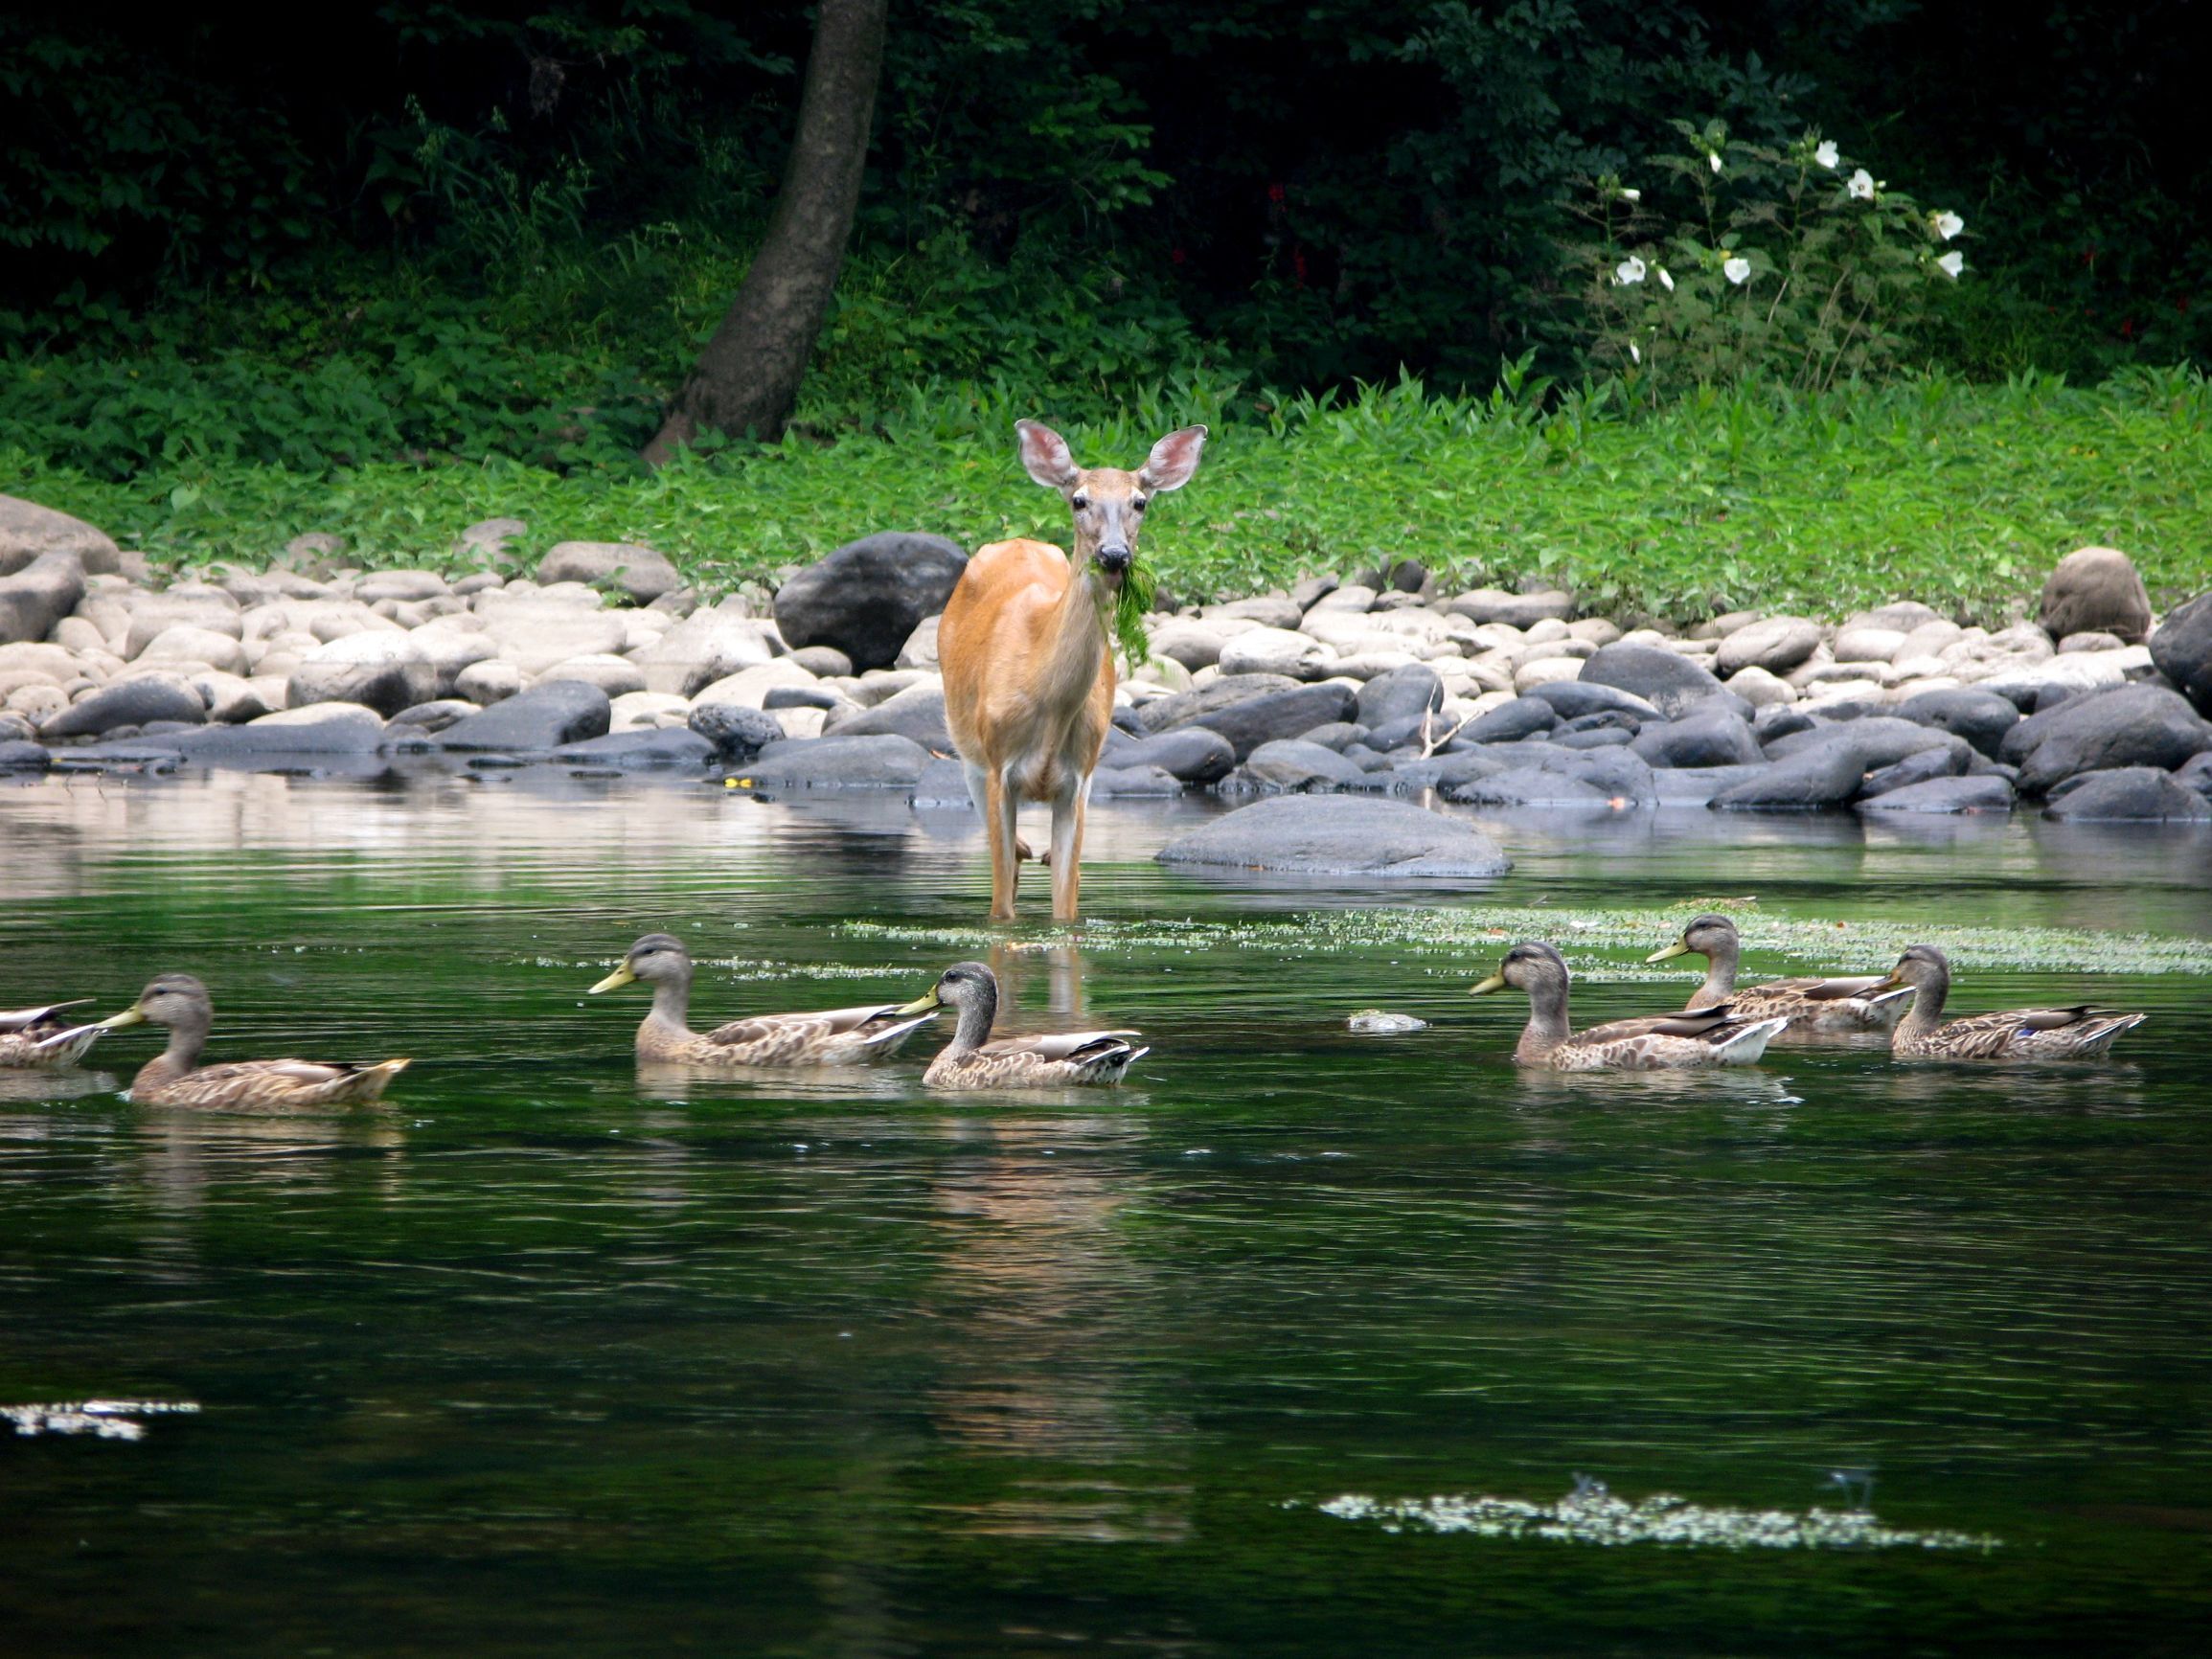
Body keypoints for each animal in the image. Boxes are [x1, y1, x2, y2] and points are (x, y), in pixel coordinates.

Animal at [938, 418, 1212, 924]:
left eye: (1140, 502)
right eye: (1079, 500)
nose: (1114, 554)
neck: (1047, 700)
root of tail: (1017, 540)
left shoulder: (1077, 780)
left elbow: (1065, 905)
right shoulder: (998, 768)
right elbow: (1001, 908)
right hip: (967, 748)